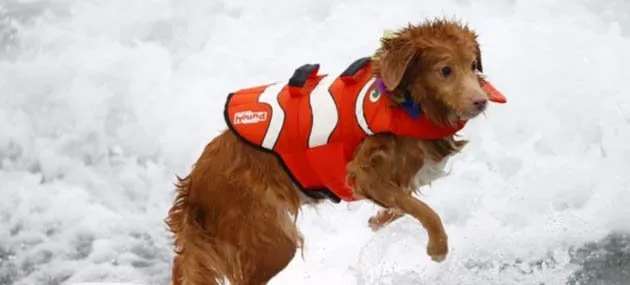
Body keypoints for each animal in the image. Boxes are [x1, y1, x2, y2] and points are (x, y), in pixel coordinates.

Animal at [165, 18, 506, 284]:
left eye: (472, 65)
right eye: (445, 70)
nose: (480, 101)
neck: (408, 102)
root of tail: (193, 189)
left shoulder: (396, 179)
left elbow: (401, 204)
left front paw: (376, 220)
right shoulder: (364, 172)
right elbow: (424, 210)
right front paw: (438, 247)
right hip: (272, 242)